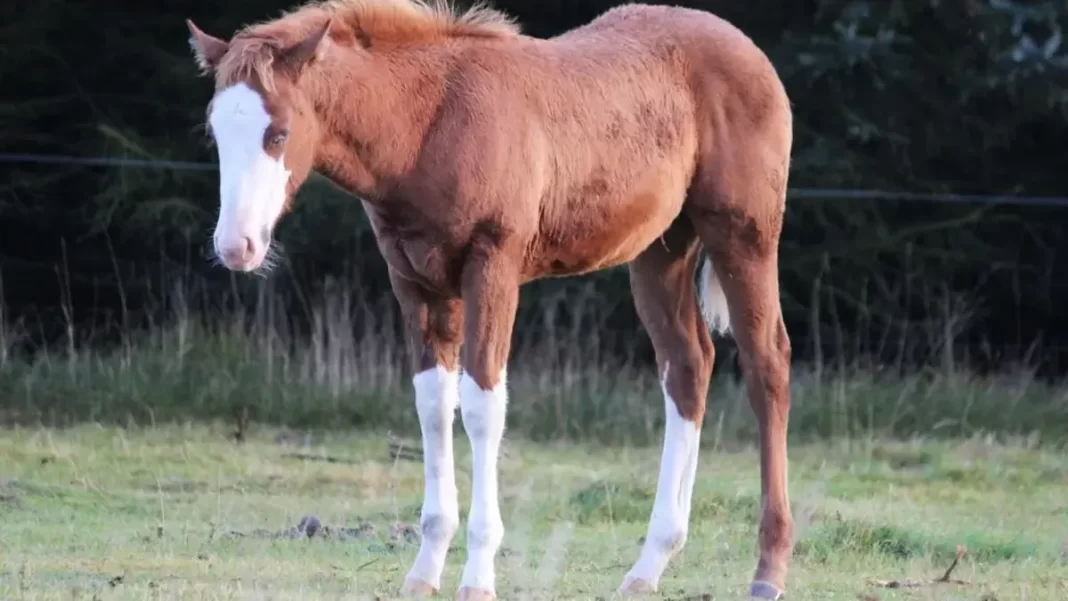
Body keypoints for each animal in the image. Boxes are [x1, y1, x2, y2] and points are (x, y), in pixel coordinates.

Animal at [185, 1, 795, 599]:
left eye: (279, 134)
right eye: (214, 135)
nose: (236, 246)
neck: (429, 124)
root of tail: (754, 55)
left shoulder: (493, 266)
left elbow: (482, 407)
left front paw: (478, 576)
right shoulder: (415, 281)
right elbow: (433, 405)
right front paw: (424, 571)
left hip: (744, 234)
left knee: (767, 365)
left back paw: (767, 570)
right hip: (660, 248)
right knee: (688, 366)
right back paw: (649, 565)